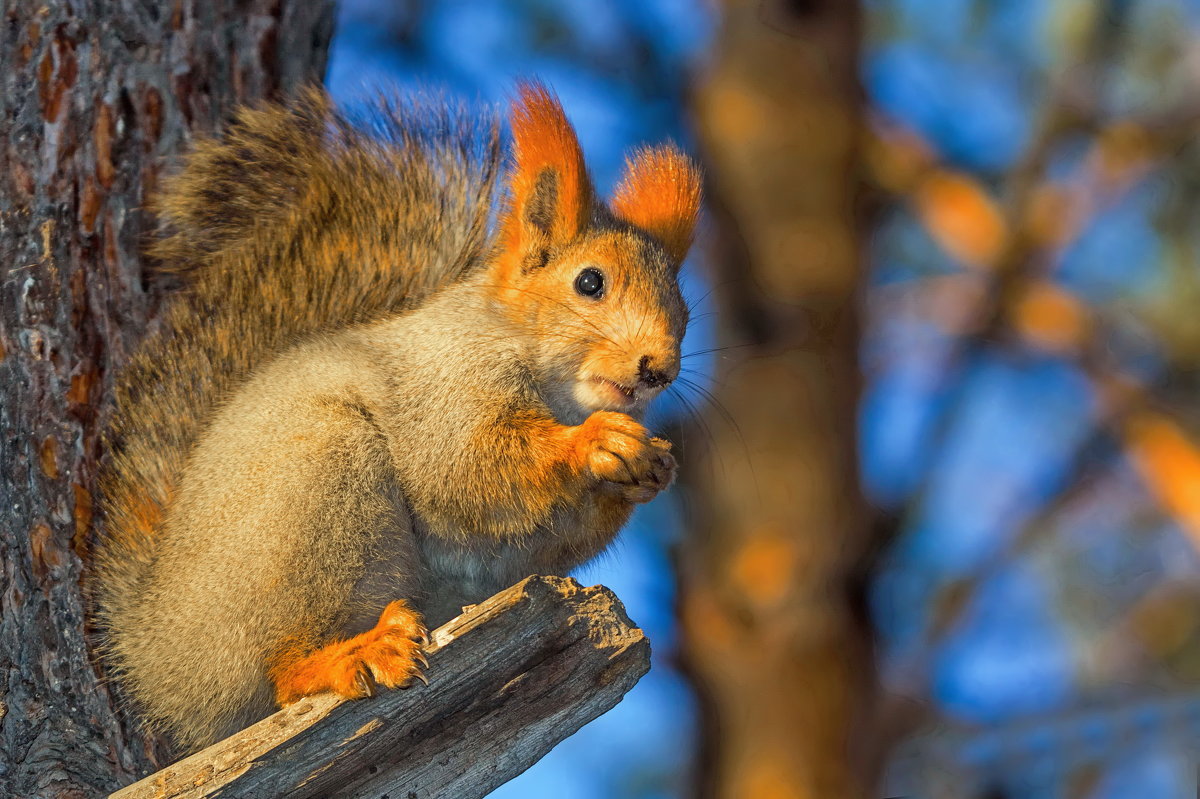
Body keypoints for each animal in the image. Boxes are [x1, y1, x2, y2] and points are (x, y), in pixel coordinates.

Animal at [91, 83, 700, 748]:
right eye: (589, 282)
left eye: (685, 311)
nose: (659, 369)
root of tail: (154, 657)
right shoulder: (443, 384)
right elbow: (466, 471)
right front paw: (593, 444)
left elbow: (528, 544)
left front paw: (651, 471)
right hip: (313, 492)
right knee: (280, 670)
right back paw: (346, 655)